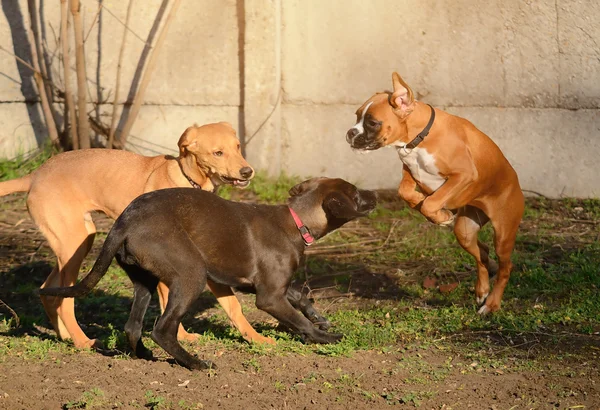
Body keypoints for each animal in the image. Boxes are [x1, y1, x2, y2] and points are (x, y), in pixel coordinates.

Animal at [0, 122, 274, 350]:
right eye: (218, 153)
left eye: (237, 147)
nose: (247, 171)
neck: (189, 182)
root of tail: (35, 175)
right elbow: (169, 306)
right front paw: (182, 337)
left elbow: (233, 306)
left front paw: (257, 339)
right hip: (73, 245)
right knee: (65, 300)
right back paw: (81, 341)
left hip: (79, 242)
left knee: (49, 290)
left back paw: (65, 336)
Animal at [344, 71, 524, 314]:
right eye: (356, 116)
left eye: (372, 122)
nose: (349, 133)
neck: (419, 136)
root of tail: (516, 182)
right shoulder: (410, 171)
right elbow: (405, 192)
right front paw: (429, 208)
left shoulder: (464, 175)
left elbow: (432, 201)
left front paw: (439, 215)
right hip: (465, 231)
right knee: (483, 253)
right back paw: (482, 290)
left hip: (503, 235)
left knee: (505, 267)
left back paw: (492, 303)